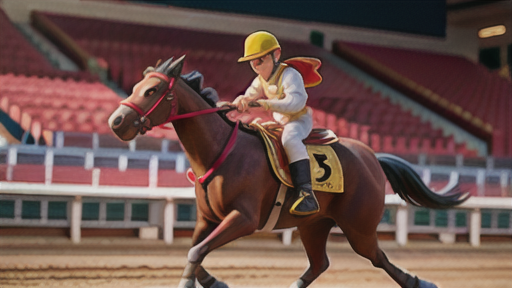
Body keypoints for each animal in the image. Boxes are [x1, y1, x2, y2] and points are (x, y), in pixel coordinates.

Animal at [109, 56, 468, 288]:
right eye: (138, 85)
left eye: (152, 91)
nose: (116, 121)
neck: (221, 152)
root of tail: (372, 157)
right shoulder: (207, 219)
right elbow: (195, 251)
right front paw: (214, 281)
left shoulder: (244, 218)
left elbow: (197, 251)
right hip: (314, 224)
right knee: (320, 263)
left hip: (359, 226)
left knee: (377, 257)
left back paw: (419, 281)